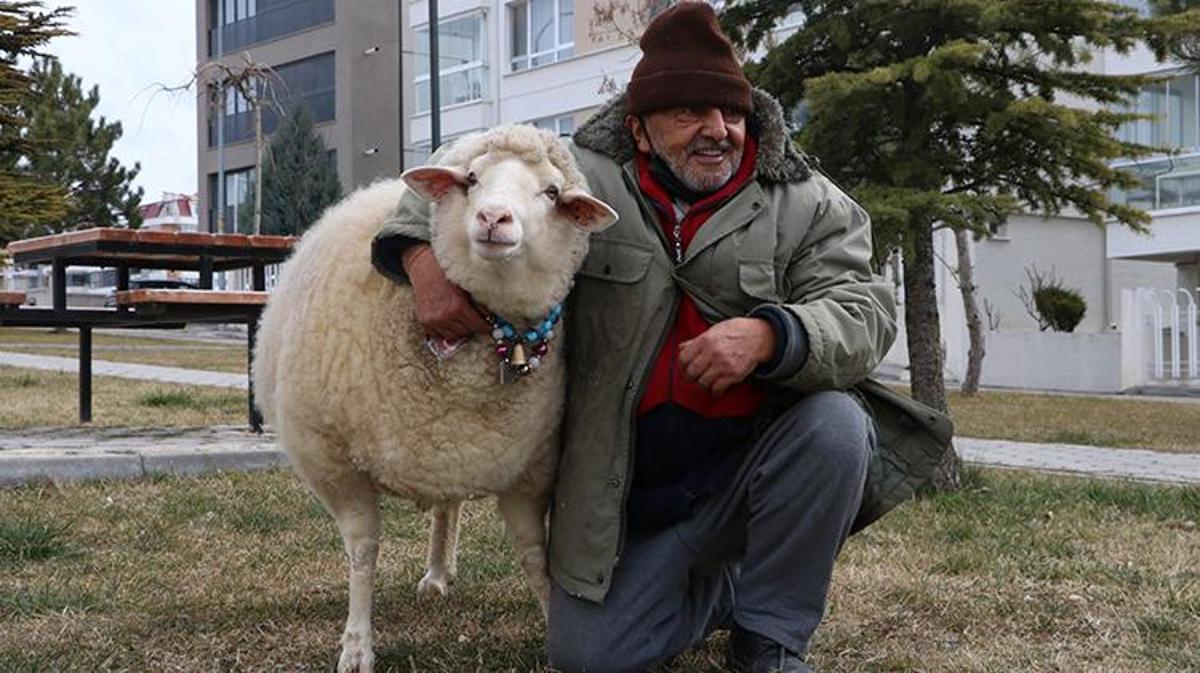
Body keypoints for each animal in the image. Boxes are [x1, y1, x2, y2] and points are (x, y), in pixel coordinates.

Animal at [258, 123, 624, 667]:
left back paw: (439, 569)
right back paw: (434, 575)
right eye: (471, 178)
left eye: (552, 192)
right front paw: (357, 645)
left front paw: (554, 622)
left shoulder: (531, 467)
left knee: (447, 506)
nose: (493, 218)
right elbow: (363, 550)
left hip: (451, 448)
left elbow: (535, 554)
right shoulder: (332, 462)